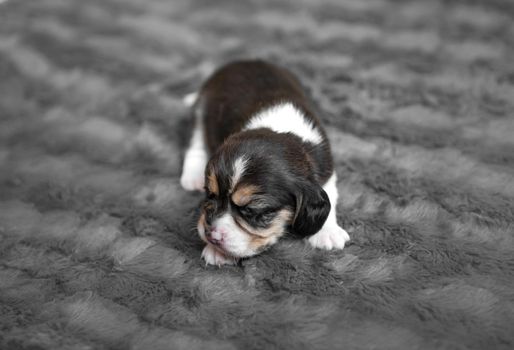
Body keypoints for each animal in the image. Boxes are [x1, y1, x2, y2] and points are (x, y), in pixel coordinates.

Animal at [179, 60, 348, 266]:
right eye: (210, 195)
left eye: (252, 210)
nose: (211, 236)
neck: (277, 127)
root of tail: (239, 62)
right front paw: (216, 251)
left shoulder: (326, 167)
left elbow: (329, 194)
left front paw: (327, 233)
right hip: (201, 112)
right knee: (195, 145)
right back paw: (192, 176)